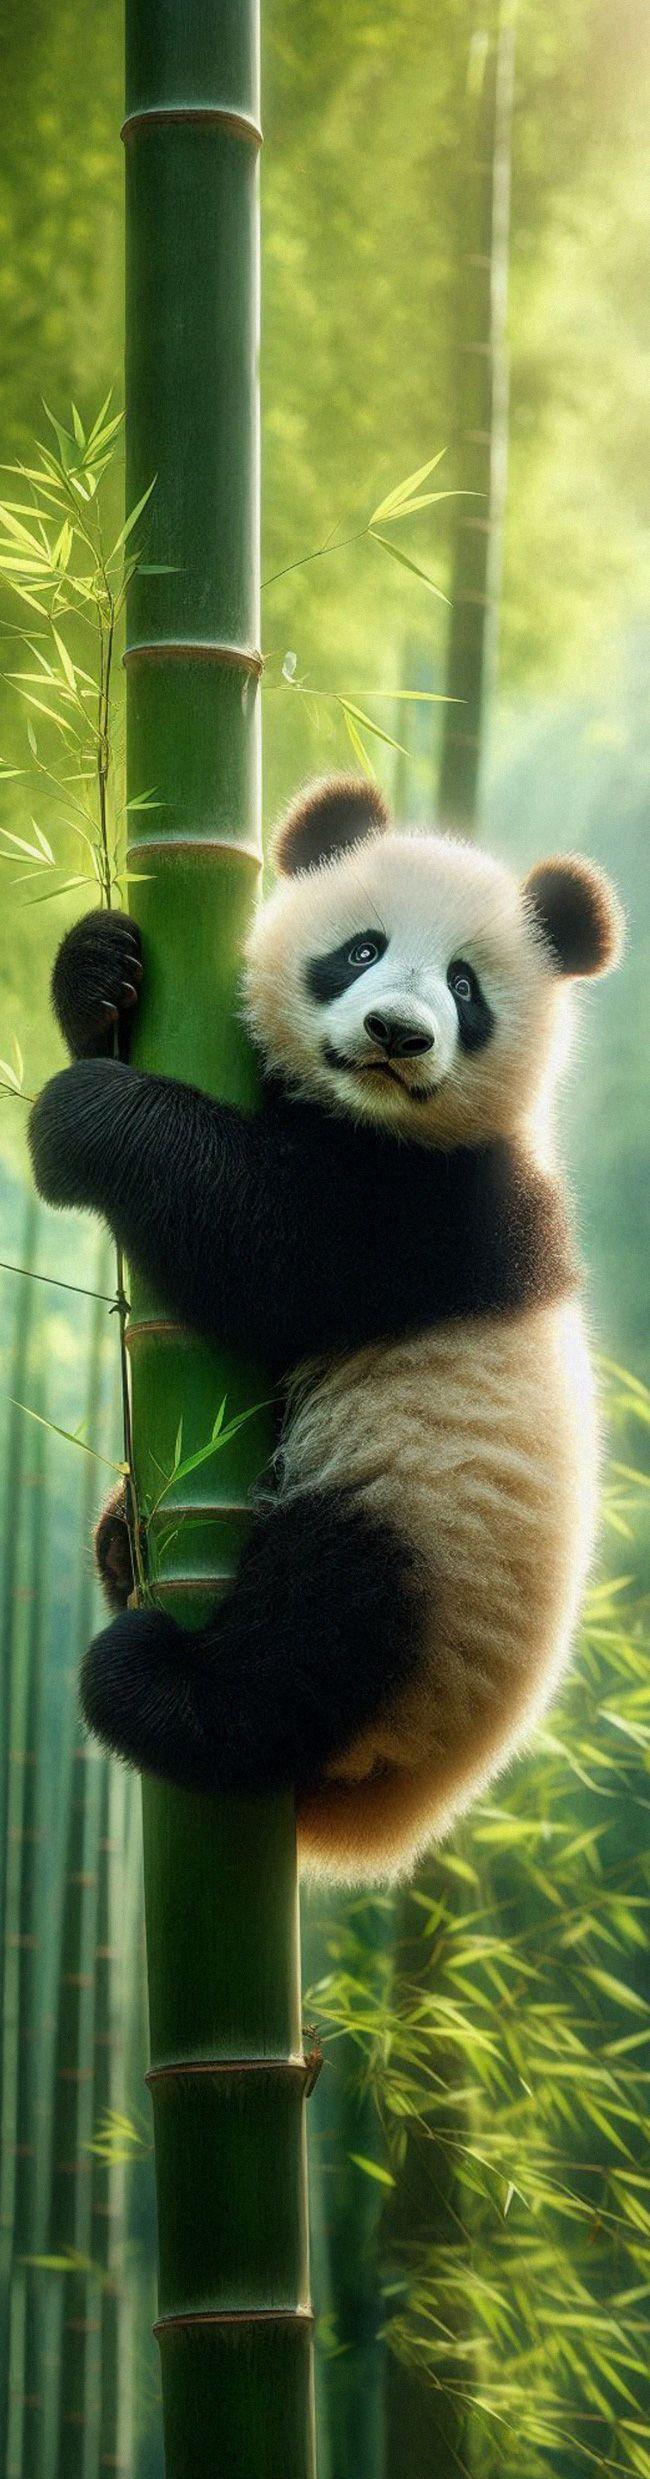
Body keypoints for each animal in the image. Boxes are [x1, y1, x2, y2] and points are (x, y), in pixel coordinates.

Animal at [29, 774, 623, 1884]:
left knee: (317, 1640)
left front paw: (84, 1114)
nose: (396, 1031)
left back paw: (158, 1684)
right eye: (359, 948)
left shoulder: (442, 1213)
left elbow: (264, 1246)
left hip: (427, 1555)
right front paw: (95, 972)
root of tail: (383, 1820)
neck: (366, 1113)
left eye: (465, 987)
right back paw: (124, 1540)